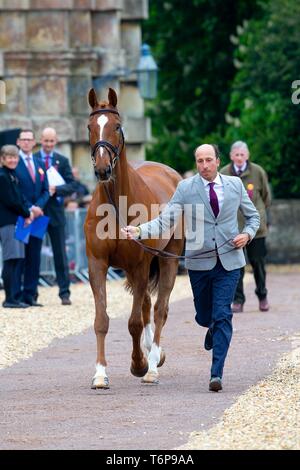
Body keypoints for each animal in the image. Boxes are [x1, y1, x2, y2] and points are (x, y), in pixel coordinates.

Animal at [84, 88, 183, 390]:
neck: (116, 204)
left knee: (160, 309)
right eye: (90, 126)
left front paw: (139, 365)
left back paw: (152, 364)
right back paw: (152, 353)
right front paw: (100, 374)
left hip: (167, 259)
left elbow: (134, 323)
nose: (102, 169)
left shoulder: (141, 265)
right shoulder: (97, 263)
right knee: (148, 306)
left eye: (116, 126)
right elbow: (102, 320)